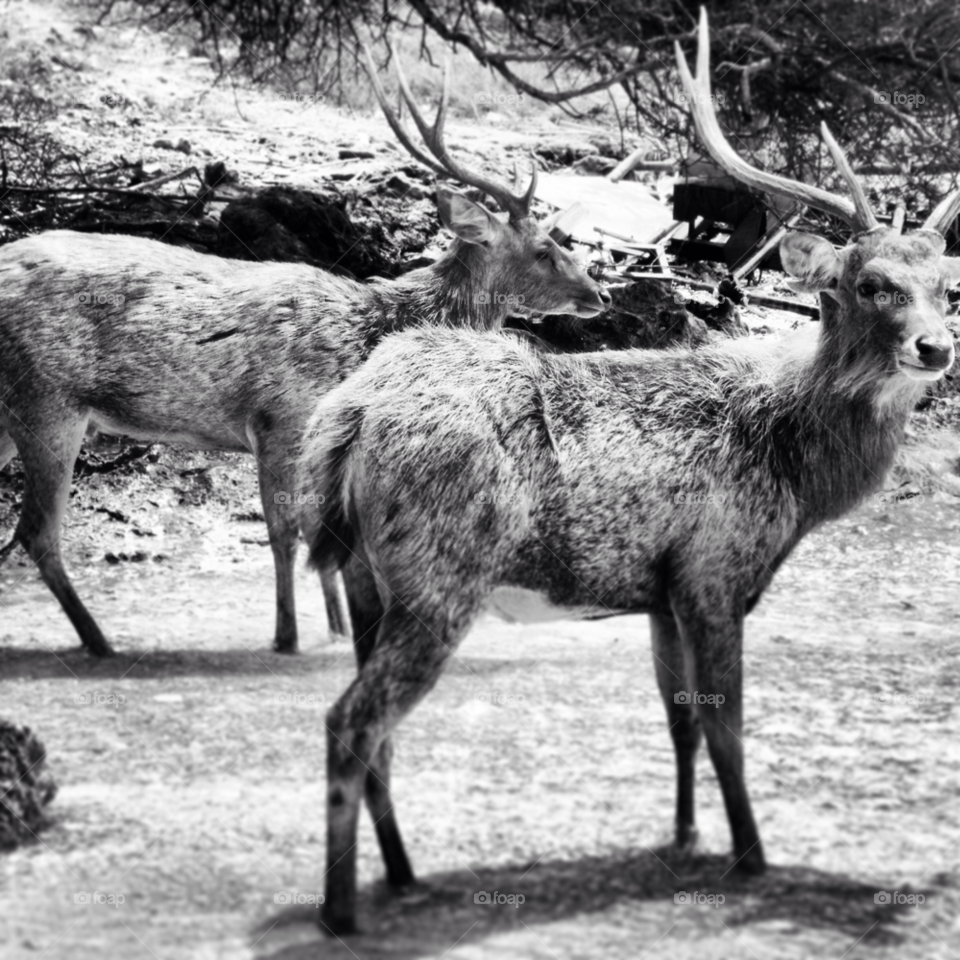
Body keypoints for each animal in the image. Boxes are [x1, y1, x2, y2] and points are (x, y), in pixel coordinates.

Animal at [0, 50, 612, 660]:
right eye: (544, 249)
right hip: (48, 399)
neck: (370, 334)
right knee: (36, 532)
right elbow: (284, 532)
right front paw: (289, 635)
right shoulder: (280, 419)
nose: (600, 294)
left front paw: (337, 628)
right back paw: (99, 640)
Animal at [296, 9, 960, 936]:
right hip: (441, 572)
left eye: (947, 285)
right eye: (872, 284)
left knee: (377, 730)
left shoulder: (659, 588)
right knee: (351, 722)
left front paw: (682, 836)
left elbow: (678, 723)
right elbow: (728, 729)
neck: (794, 466)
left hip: (368, 576)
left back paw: (401, 876)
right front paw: (750, 855)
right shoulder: (717, 568)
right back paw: (344, 911)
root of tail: (349, 414)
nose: (936, 348)